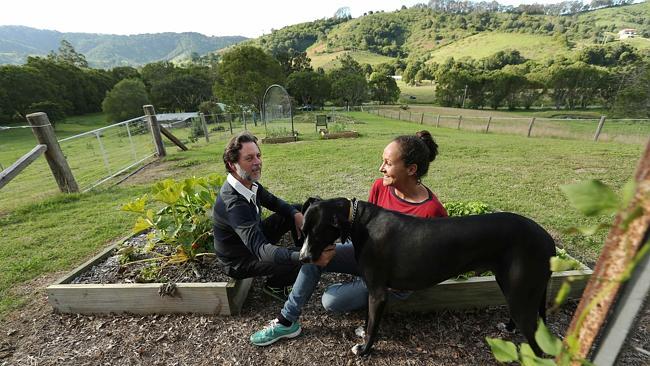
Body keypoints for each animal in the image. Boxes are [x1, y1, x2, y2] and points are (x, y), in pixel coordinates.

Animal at [296, 199, 556, 356]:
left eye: (316, 233)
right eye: (303, 230)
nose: (302, 258)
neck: (358, 220)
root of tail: (548, 240)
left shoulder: (378, 293)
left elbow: (373, 325)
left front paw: (364, 350)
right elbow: (368, 320)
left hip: (521, 293)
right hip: (514, 287)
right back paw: (509, 328)